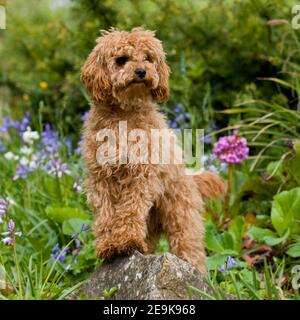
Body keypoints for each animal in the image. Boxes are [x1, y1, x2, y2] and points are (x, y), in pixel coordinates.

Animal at [81, 27, 224, 272]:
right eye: (121, 60)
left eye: (148, 58)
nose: (141, 71)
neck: (124, 115)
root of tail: (190, 178)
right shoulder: (101, 179)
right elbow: (106, 215)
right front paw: (109, 245)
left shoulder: (141, 175)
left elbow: (130, 209)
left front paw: (125, 240)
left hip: (180, 214)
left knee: (189, 246)